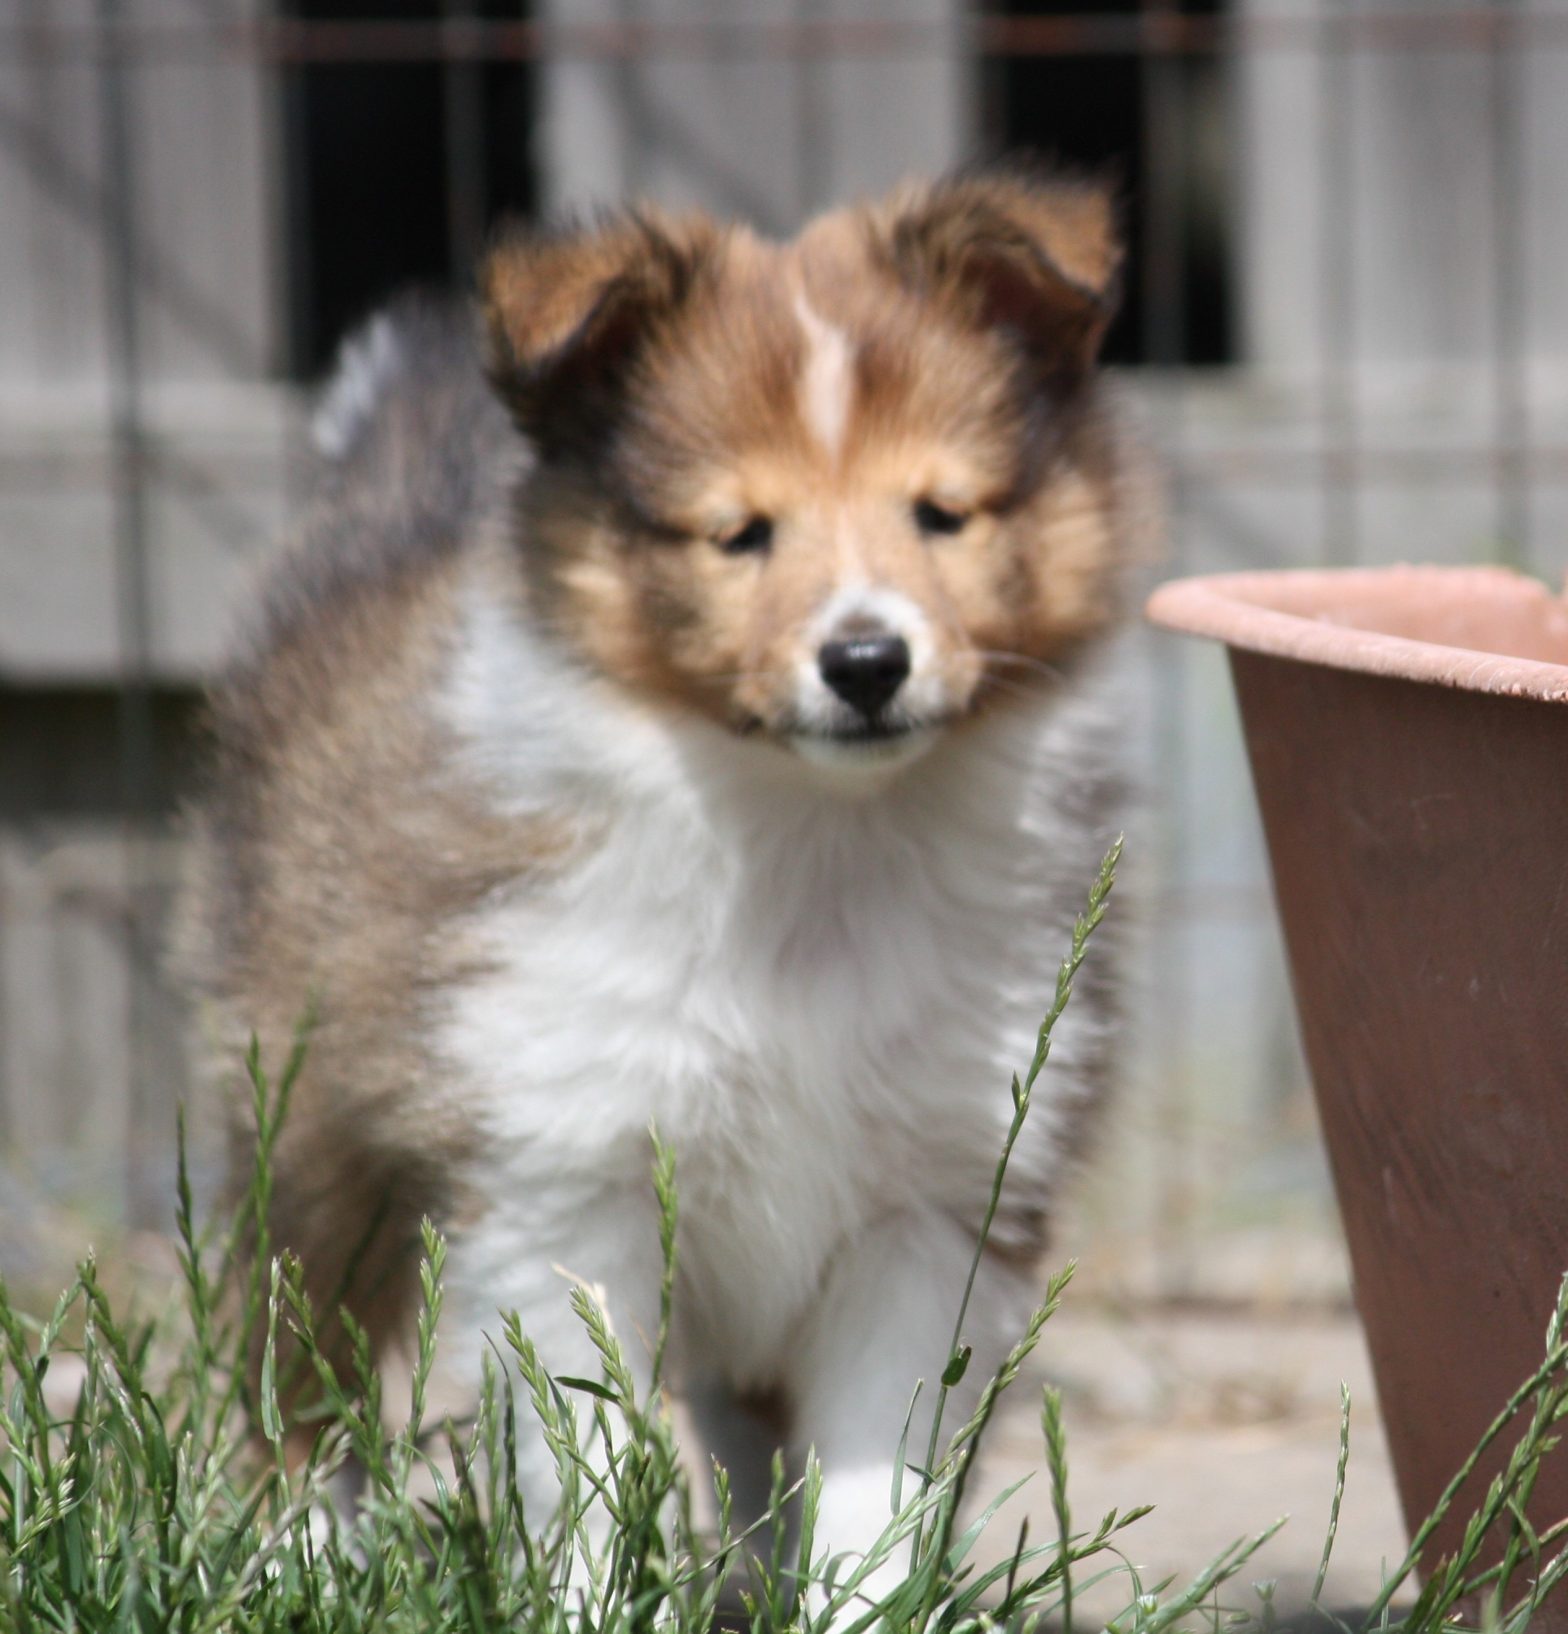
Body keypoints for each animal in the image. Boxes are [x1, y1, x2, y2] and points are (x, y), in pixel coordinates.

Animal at [183, 165, 1136, 1594]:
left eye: (940, 512)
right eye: (738, 533)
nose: (866, 661)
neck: (811, 843)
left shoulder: (929, 1211)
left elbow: (873, 1491)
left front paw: (846, 1605)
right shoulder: (567, 1184)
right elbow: (579, 1468)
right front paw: (581, 1603)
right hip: (306, 1134)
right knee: (295, 1372)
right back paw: (302, 1558)